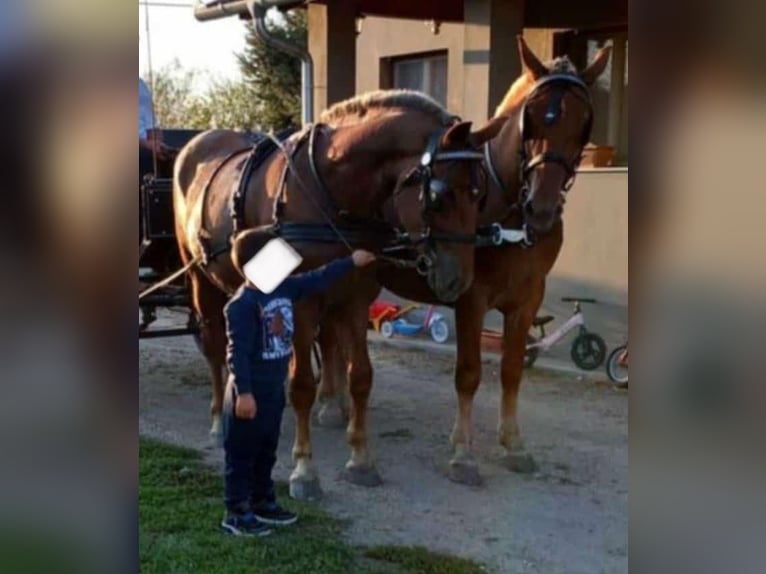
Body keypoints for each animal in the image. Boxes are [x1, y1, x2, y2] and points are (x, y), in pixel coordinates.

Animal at [172, 90, 506, 496]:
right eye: (439, 197)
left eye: (479, 193)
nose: (458, 280)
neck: (329, 189)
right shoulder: (300, 302)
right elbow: (301, 384)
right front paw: (304, 470)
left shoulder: (355, 299)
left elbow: (360, 376)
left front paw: (360, 460)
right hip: (200, 280)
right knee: (217, 348)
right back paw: (219, 420)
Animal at [313, 37, 612, 487]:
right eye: (533, 119)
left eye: (584, 123)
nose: (541, 208)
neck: (506, 211)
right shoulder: (472, 299)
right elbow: (469, 374)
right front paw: (462, 454)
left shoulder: (527, 300)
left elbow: (511, 370)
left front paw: (513, 444)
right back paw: (329, 403)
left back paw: (337, 403)